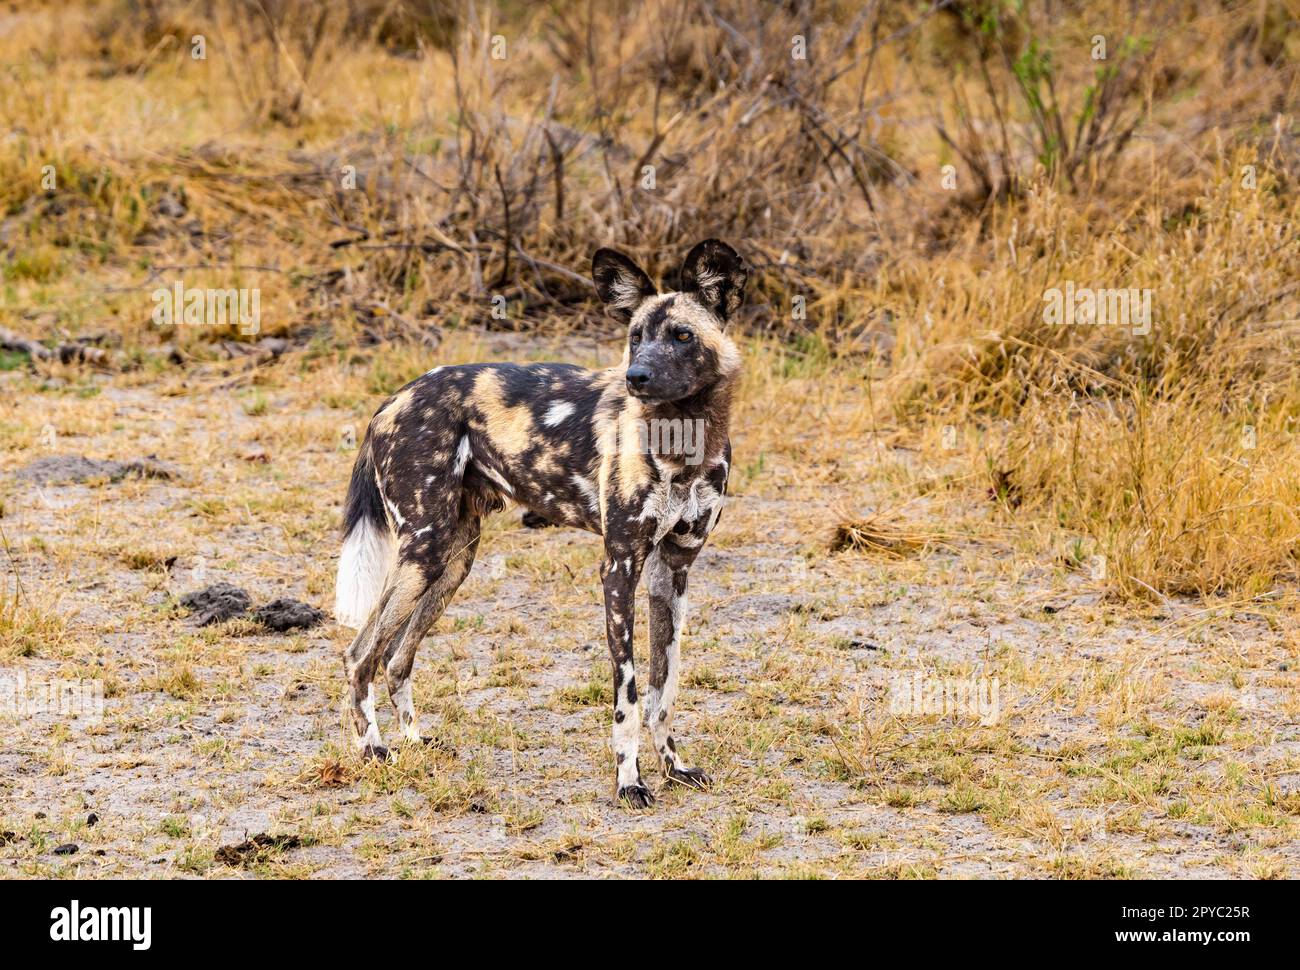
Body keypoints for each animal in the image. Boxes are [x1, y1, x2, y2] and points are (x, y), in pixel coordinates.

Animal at [335, 237, 748, 806]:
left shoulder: (673, 571)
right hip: (423, 552)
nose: (635, 377)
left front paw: (674, 766)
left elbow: (663, 688)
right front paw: (630, 780)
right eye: (635, 338)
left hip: (453, 559)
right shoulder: (619, 567)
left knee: (397, 657)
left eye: (682, 336)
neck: (681, 438)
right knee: (361, 655)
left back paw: (416, 741)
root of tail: (391, 399)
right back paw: (374, 751)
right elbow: (629, 693)